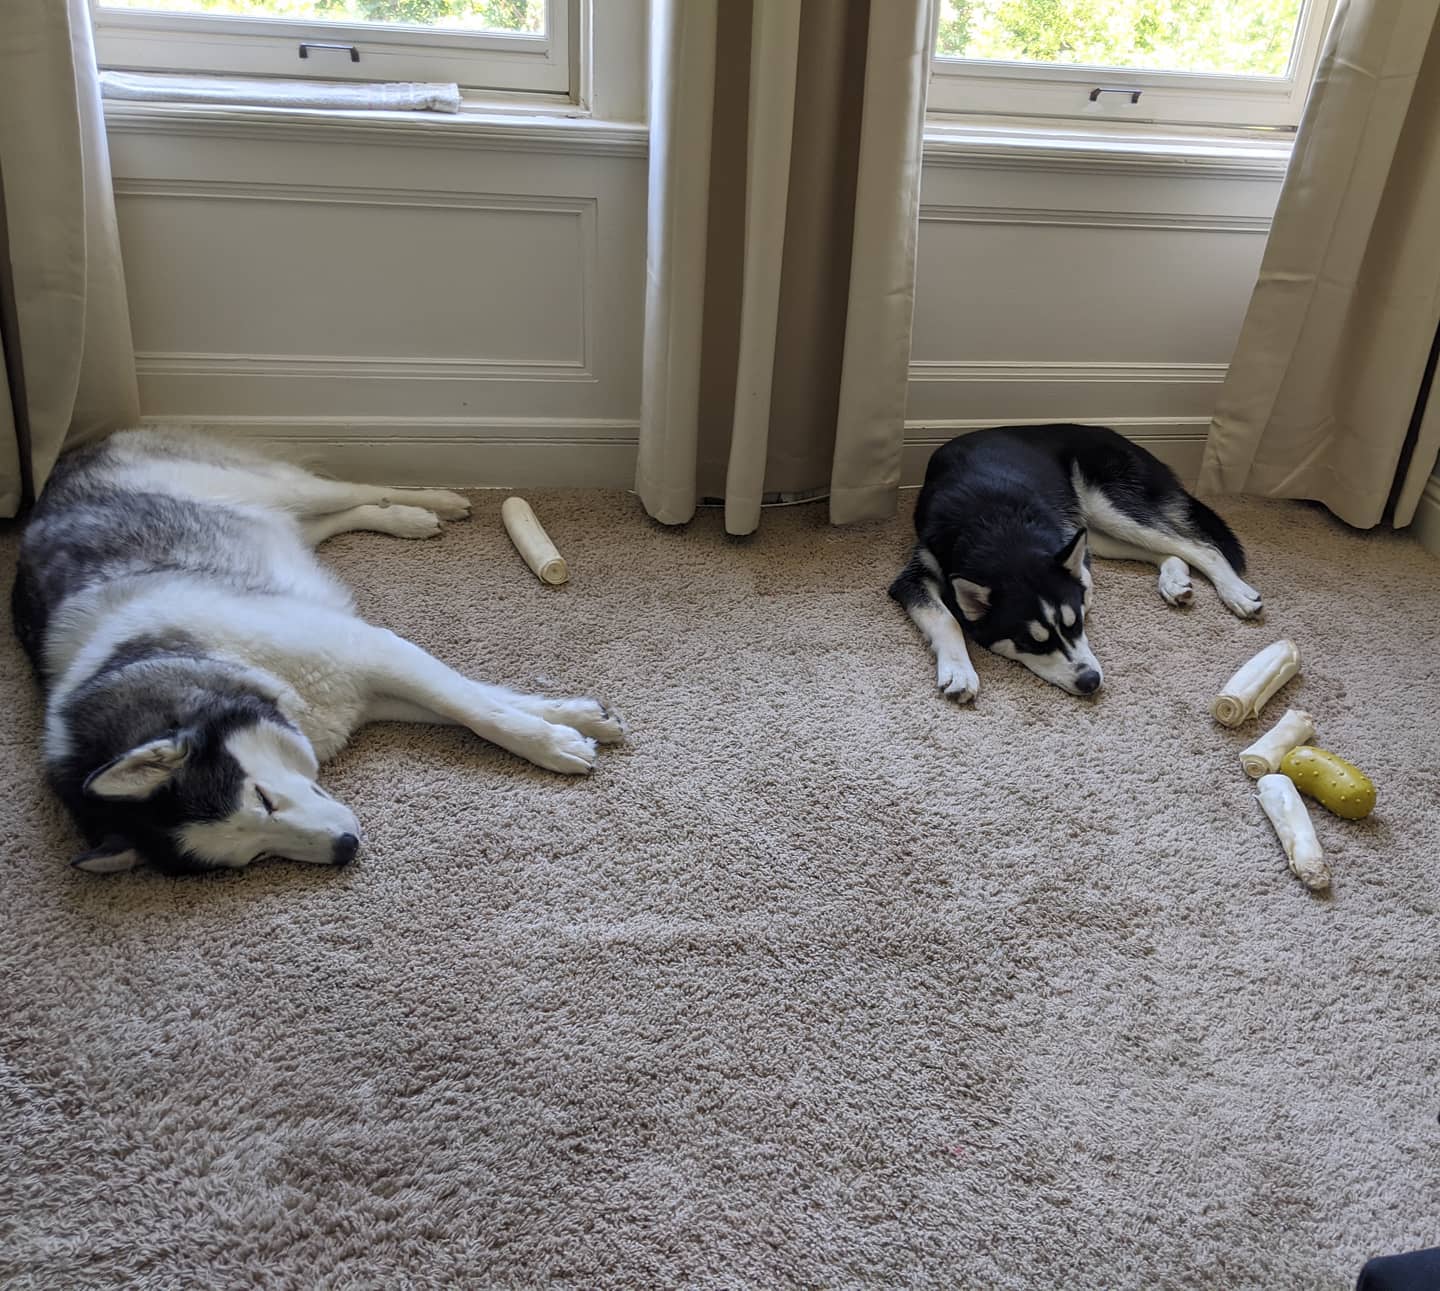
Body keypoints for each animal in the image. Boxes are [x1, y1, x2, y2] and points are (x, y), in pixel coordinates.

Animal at [887, 423, 1261, 699]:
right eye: (1030, 643)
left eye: (1075, 624)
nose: (1090, 681)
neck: (998, 523)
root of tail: (1132, 442)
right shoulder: (916, 574)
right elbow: (946, 618)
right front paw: (959, 670)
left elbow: (1085, 583)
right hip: (1098, 529)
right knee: (1171, 548)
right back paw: (1175, 579)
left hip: (1108, 505)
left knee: (1201, 546)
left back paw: (1236, 593)